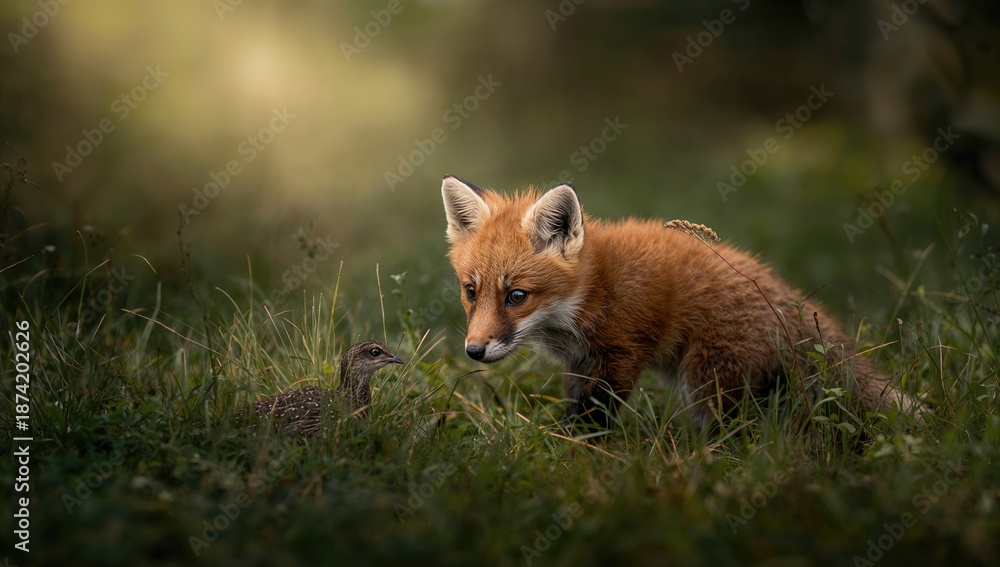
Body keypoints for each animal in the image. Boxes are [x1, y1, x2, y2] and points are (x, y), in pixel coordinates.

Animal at [441, 174, 924, 429]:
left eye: (516, 296)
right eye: (471, 291)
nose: (474, 350)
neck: (593, 292)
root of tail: (788, 300)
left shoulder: (621, 354)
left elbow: (593, 423)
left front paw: (577, 459)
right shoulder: (581, 364)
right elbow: (576, 410)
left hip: (706, 381)